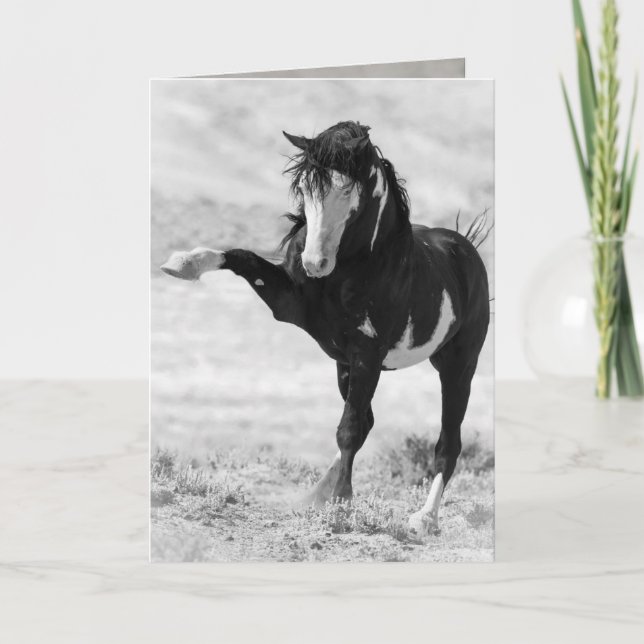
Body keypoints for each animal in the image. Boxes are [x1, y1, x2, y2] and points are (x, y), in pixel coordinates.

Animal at [160, 121, 490, 535]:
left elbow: (348, 428)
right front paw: (182, 263)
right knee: (369, 422)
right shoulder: (289, 305)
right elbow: (241, 256)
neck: (350, 270)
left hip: (458, 366)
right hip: (343, 366)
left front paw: (342, 503)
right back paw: (314, 494)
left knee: (447, 443)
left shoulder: (367, 354)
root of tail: (466, 249)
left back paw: (423, 518)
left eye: (348, 191)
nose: (315, 263)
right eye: (304, 187)